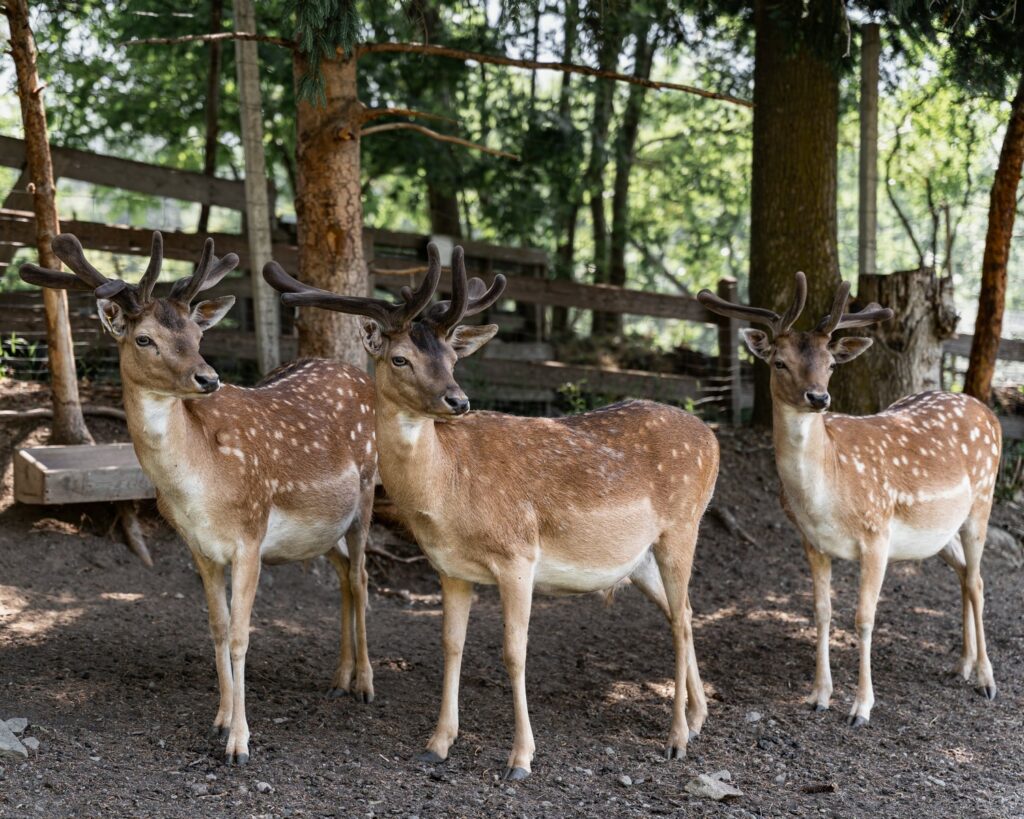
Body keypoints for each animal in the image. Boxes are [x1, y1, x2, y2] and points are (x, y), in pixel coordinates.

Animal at [19, 233, 378, 765]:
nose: (208, 378)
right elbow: (216, 627)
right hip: (323, 530)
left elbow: (241, 636)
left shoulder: (251, 536)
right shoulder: (200, 548)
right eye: (144, 339)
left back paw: (366, 684)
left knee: (361, 578)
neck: (200, 489)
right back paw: (340, 678)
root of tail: (360, 375)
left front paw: (240, 744)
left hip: (370, 490)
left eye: (197, 334)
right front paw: (220, 720)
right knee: (343, 578)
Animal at [264, 244, 720, 782]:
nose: (457, 400)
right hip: (640, 558)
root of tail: (712, 438)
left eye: (451, 357)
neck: (448, 495)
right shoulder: (450, 569)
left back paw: (676, 738)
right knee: (683, 611)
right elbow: (450, 644)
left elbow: (513, 652)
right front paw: (437, 743)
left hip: (682, 528)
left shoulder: (518, 555)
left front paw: (520, 758)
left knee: (682, 622)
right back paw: (698, 718)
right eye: (400, 358)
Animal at [696, 278, 999, 724]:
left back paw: (986, 679)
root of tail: (988, 412)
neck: (826, 496)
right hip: (940, 533)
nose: (818, 397)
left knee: (978, 580)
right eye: (779, 362)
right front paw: (819, 695)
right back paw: (962, 665)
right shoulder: (811, 542)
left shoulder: (877, 534)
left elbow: (864, 618)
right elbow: (821, 612)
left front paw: (861, 707)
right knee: (964, 575)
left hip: (982, 500)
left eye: (831, 364)